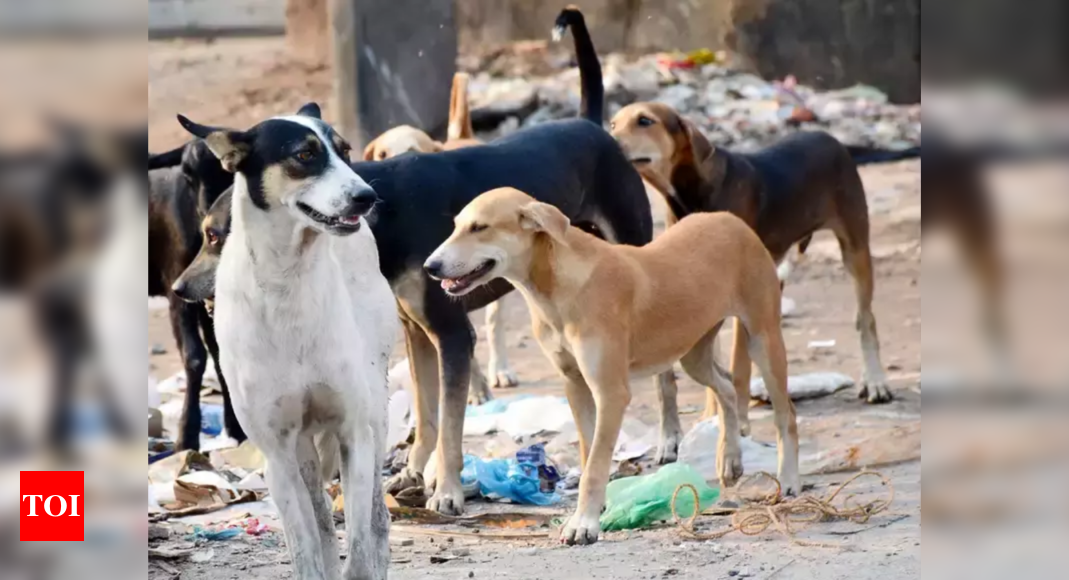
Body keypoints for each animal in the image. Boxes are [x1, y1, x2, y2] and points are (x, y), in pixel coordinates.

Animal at [148, 139, 244, 448]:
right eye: (188, 175)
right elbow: (194, 357)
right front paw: (186, 436)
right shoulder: (176, 290)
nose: (208, 213)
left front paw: (236, 428)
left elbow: (219, 353)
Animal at [177, 105, 399, 580]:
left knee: (376, 521)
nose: (367, 197)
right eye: (305, 155)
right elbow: (306, 548)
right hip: (301, 452)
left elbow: (360, 546)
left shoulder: (354, 433)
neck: (288, 282)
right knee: (322, 521)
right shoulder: (278, 455)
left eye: (345, 151)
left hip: (375, 413)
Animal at [421, 187, 799, 546]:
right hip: (693, 353)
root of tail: (731, 220)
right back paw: (730, 458)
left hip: (763, 338)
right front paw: (593, 509)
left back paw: (788, 478)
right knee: (726, 387)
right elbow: (590, 452)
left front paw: (584, 525)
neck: (556, 286)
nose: (430, 267)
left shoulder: (611, 392)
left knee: (785, 414)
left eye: (479, 227)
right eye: (456, 226)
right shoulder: (575, 384)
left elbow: (596, 464)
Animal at [615, 102, 906, 442]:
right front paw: (711, 418)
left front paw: (738, 422)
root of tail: (828, 137)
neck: (691, 193)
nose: (607, 137)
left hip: (854, 246)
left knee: (865, 318)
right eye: (614, 123)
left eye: (644, 121)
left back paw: (875, 382)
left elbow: (737, 367)